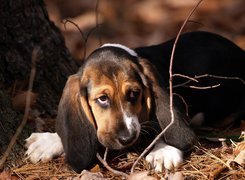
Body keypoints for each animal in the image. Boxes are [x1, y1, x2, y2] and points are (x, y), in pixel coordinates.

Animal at [25, 31, 245, 173]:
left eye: (134, 93)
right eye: (102, 99)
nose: (127, 138)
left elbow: (166, 124)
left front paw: (163, 150)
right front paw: (49, 141)